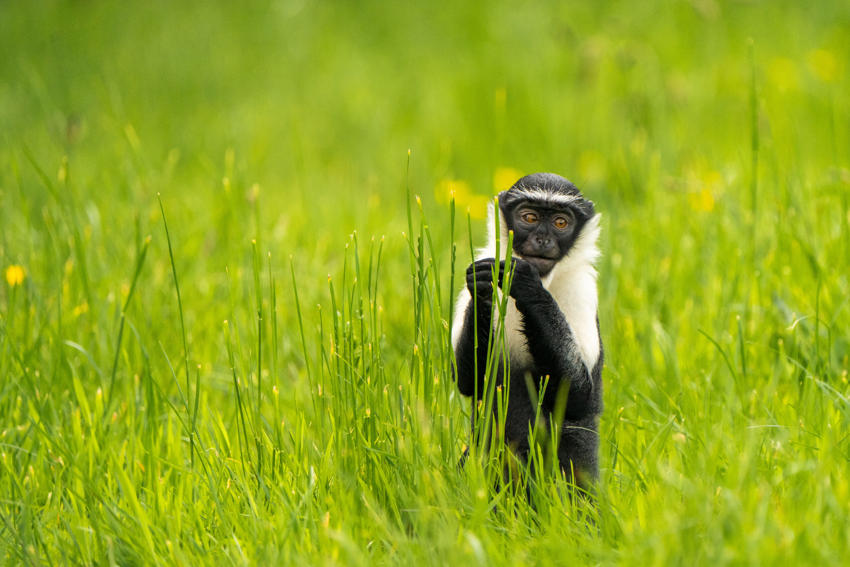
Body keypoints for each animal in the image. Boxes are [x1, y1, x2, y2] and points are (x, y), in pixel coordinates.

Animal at [451, 172, 603, 490]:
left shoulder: (581, 289)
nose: (542, 240)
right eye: (529, 217)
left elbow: (578, 395)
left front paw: (525, 283)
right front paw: (483, 287)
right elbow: (469, 379)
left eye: (561, 222)